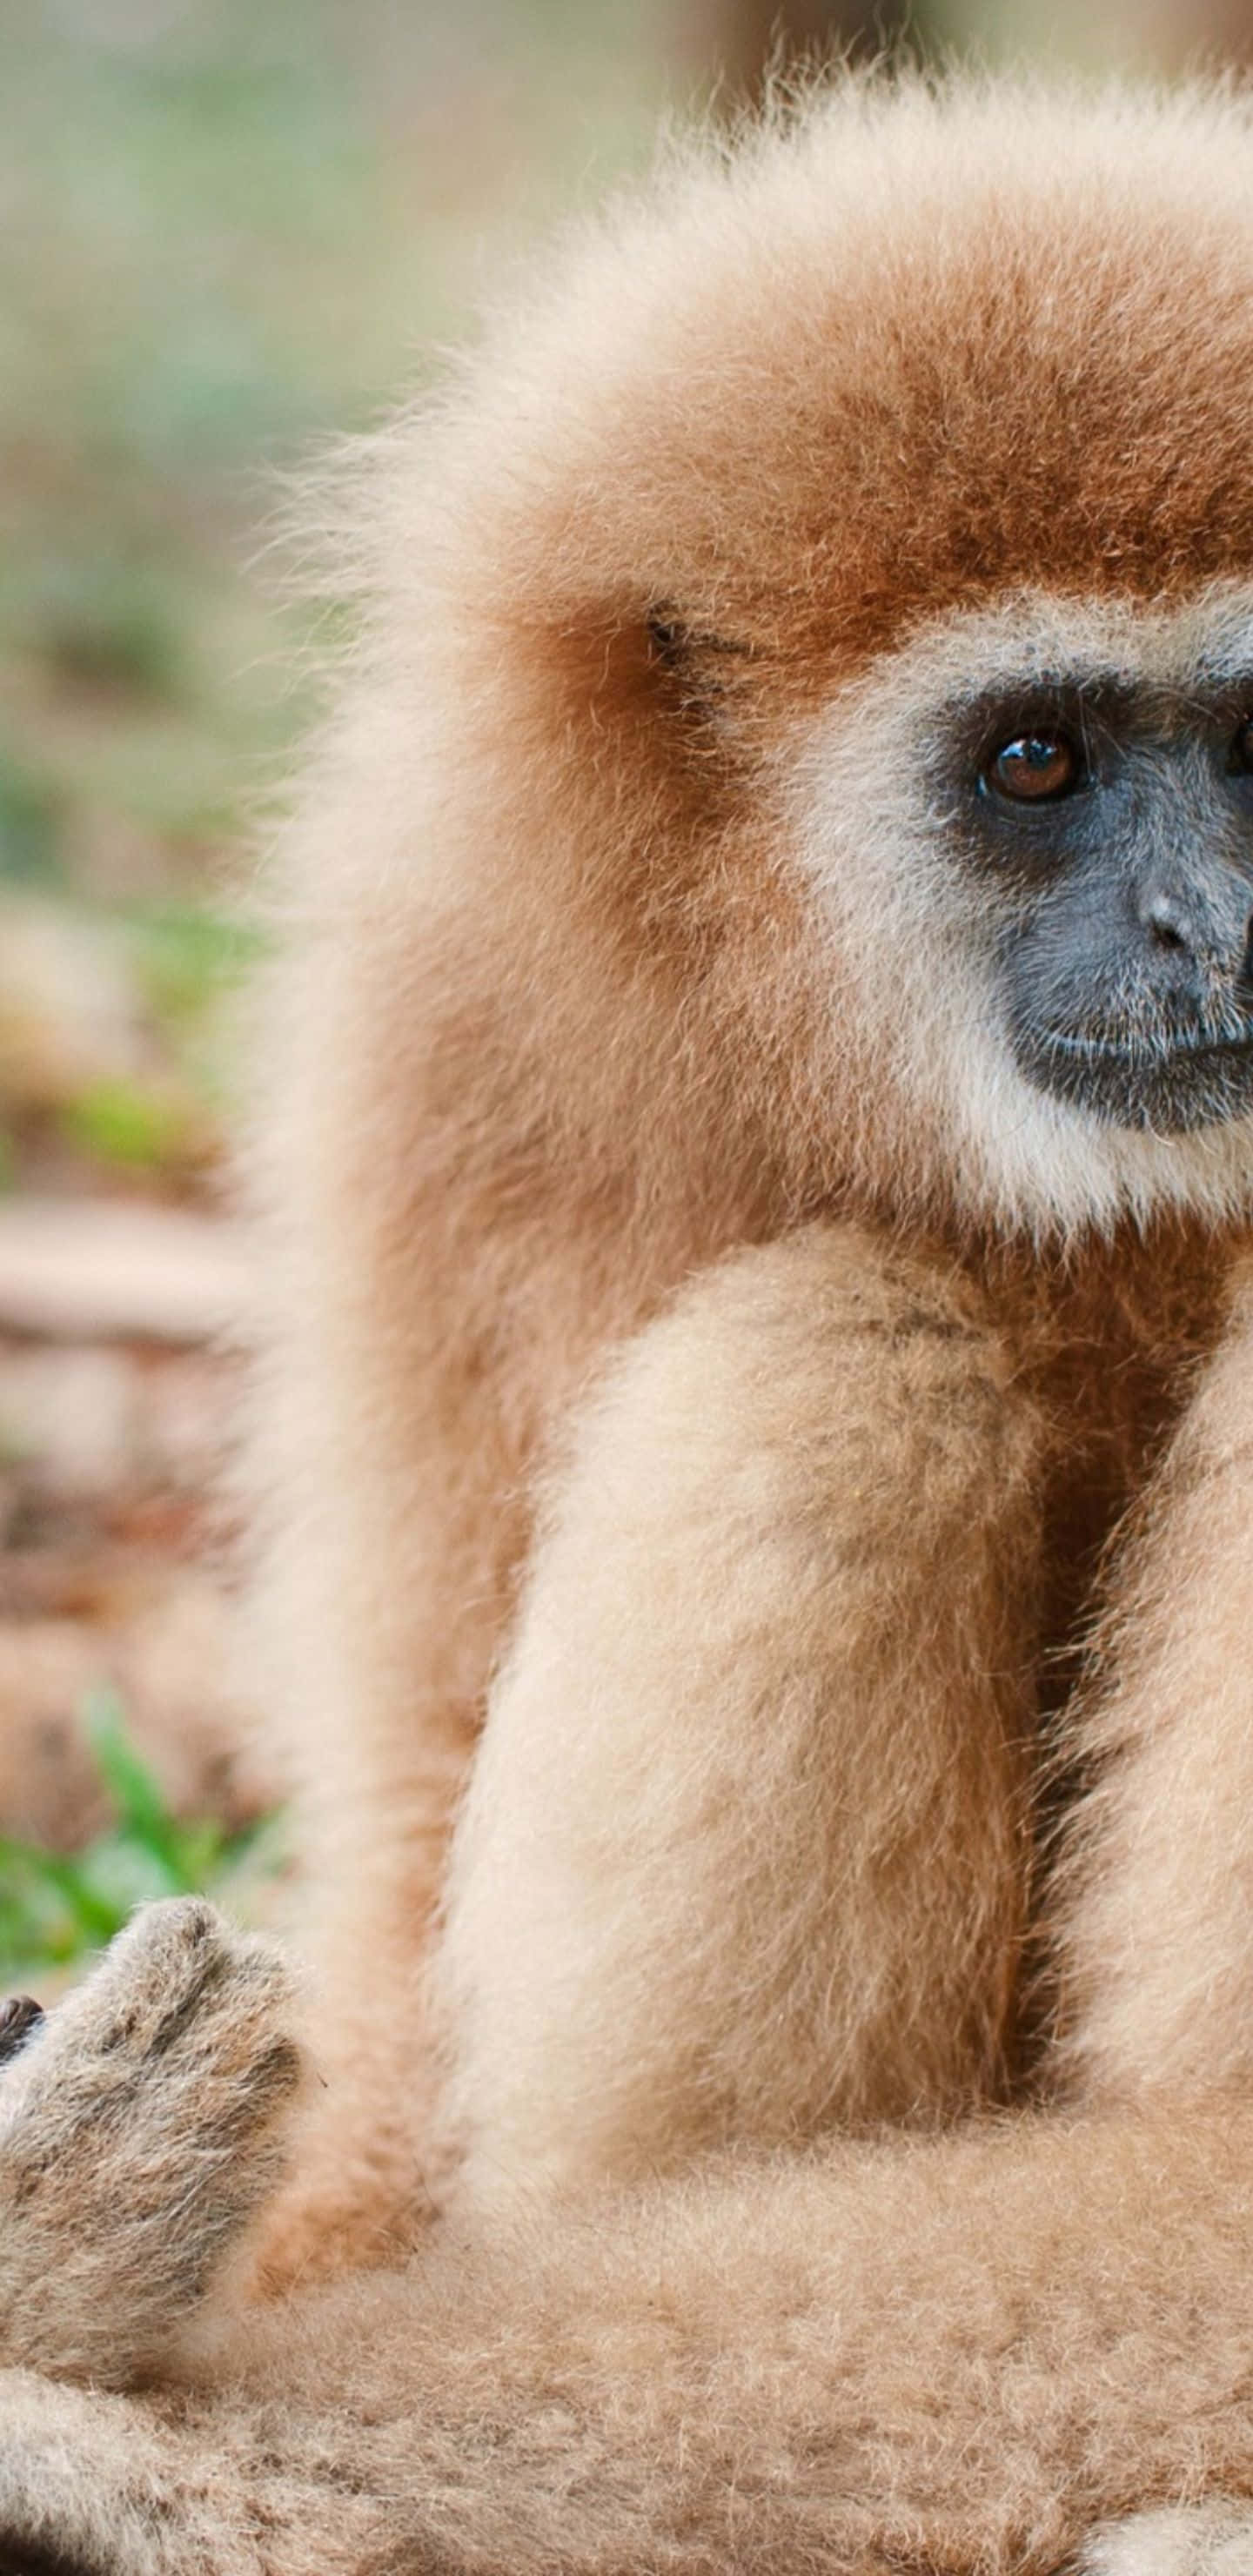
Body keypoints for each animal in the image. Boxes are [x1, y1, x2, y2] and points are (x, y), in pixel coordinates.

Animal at [8, 64, 1253, 2575]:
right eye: (1037, 761)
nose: (1210, 925)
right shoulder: (462, 995)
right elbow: (405, 1846)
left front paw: (127, 2435)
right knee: (837, 1361)